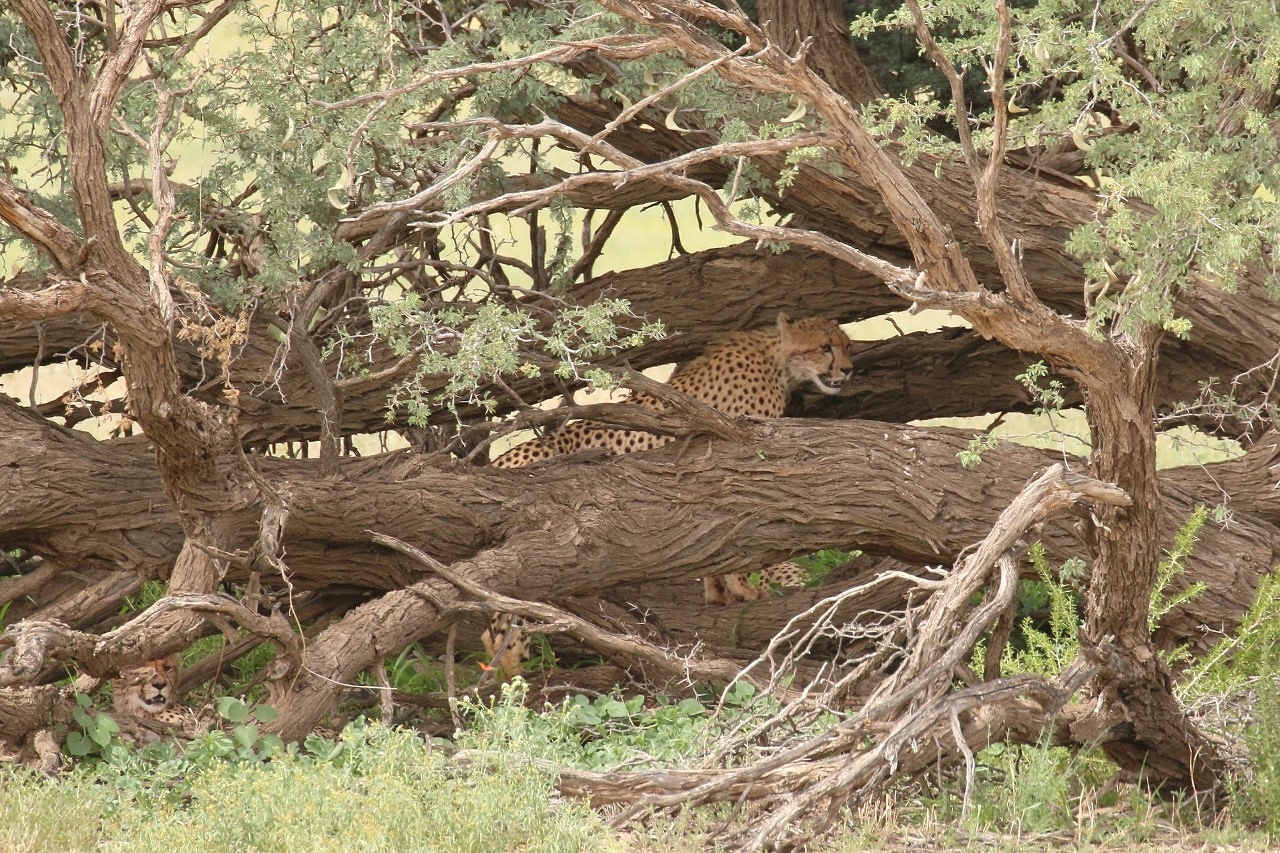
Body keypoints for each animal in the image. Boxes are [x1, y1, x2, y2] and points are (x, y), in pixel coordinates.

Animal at [482, 312, 855, 677]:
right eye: (824, 347)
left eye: (846, 345)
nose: (849, 369)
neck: (775, 358)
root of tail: (500, 461)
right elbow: (742, 539)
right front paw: (745, 588)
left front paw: (720, 596)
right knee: (504, 624)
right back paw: (515, 676)